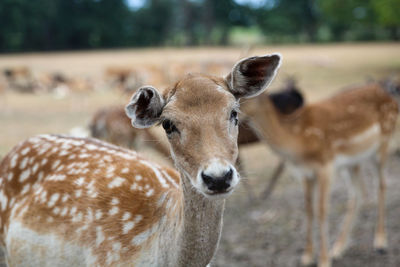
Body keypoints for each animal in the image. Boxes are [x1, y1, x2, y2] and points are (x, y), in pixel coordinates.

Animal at [241, 81, 400, 267]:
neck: (299, 142)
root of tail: (391, 97)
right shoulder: (305, 173)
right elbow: (308, 209)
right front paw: (307, 256)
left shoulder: (326, 165)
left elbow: (322, 210)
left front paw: (323, 260)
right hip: (353, 161)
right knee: (358, 193)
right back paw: (339, 248)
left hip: (384, 143)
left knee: (381, 186)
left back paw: (380, 242)